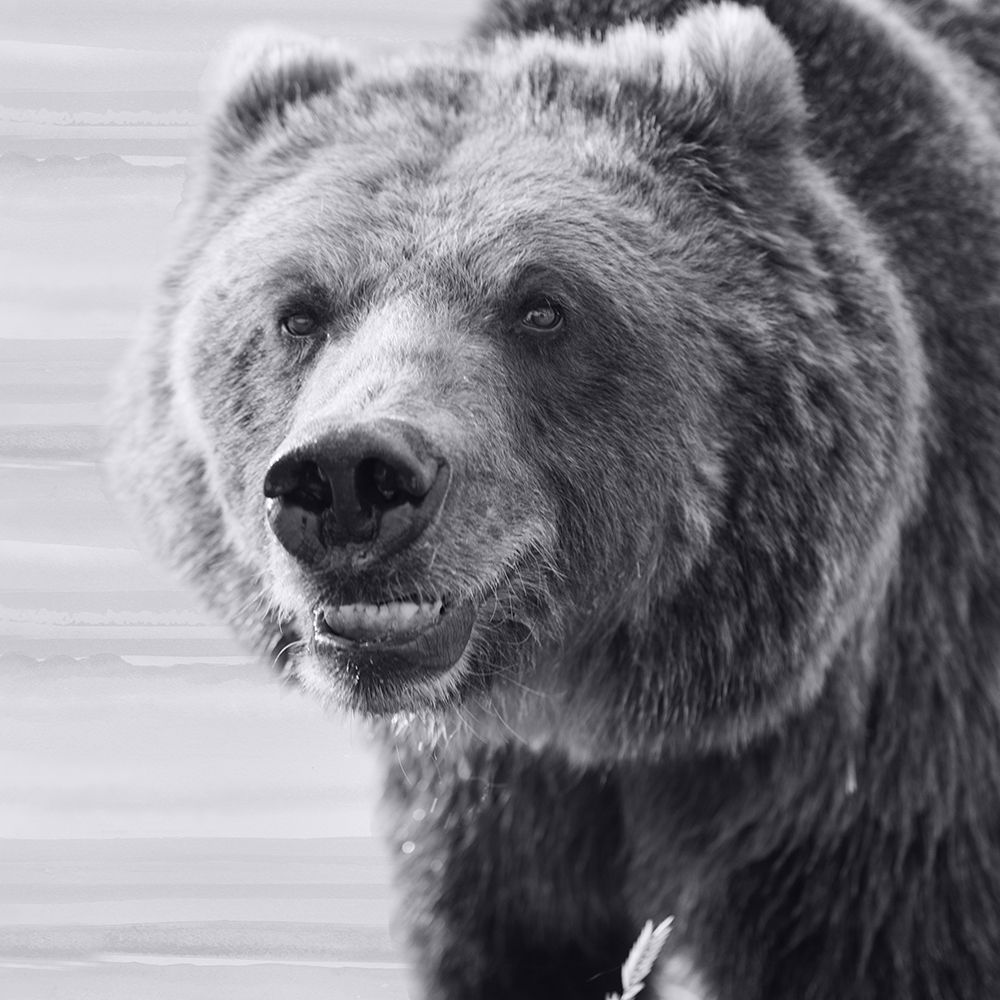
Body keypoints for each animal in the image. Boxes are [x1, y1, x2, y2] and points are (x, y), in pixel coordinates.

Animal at [107, 0, 1000, 997]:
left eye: (543, 305)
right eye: (298, 310)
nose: (348, 474)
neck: (595, 710)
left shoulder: (887, 780)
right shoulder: (493, 828)